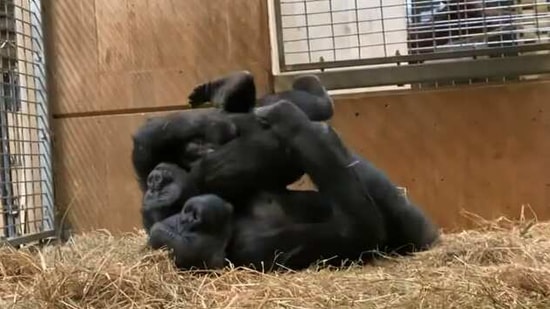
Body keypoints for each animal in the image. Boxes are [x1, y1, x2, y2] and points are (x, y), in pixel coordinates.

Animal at [149, 99, 442, 270]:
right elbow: (358, 230)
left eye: (180, 219)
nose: (190, 216)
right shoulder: (252, 247)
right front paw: (287, 118)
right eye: (183, 233)